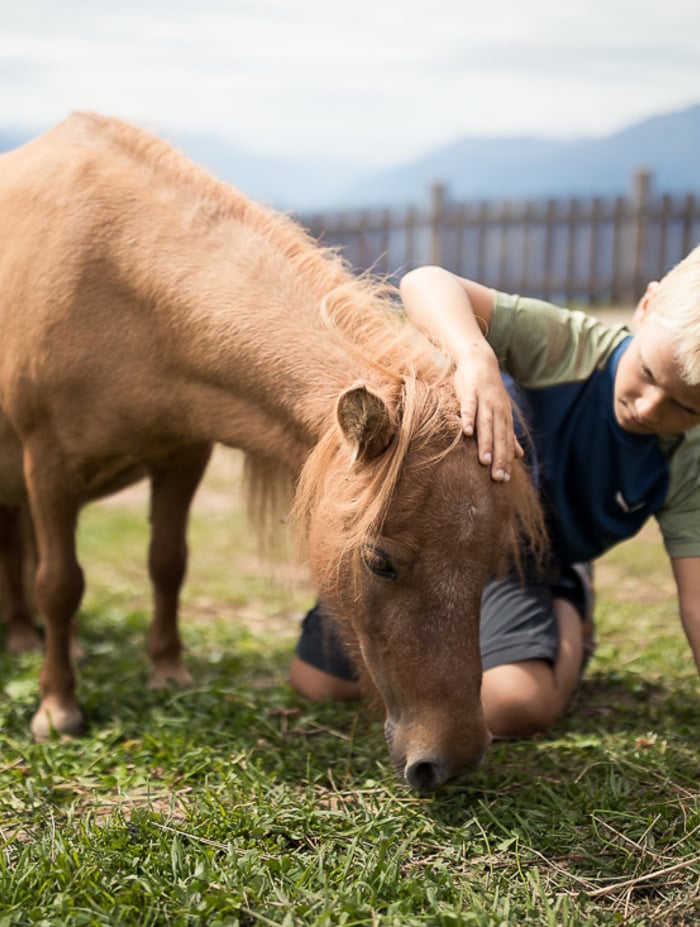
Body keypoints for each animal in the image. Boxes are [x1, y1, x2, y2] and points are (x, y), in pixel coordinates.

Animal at [0, 112, 540, 788]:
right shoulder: (49, 467)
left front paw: (167, 672)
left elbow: (167, 562)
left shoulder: (183, 457)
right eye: (379, 562)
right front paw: (58, 708)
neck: (116, 280)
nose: (454, 759)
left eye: (492, 563)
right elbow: (60, 583)